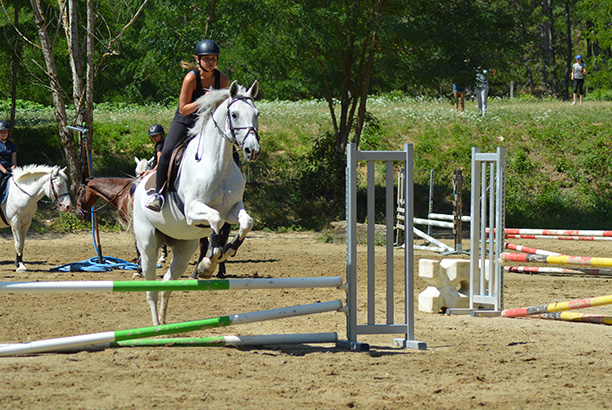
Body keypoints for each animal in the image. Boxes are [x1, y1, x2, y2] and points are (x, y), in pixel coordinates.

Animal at [133, 79, 260, 324]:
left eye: (257, 114)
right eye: (235, 114)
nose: (253, 150)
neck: (219, 163)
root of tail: (140, 184)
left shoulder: (233, 209)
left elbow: (246, 222)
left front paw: (225, 252)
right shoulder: (193, 211)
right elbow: (215, 219)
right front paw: (209, 263)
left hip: (183, 248)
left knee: (167, 283)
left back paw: (164, 324)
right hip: (147, 243)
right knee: (150, 287)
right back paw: (155, 327)